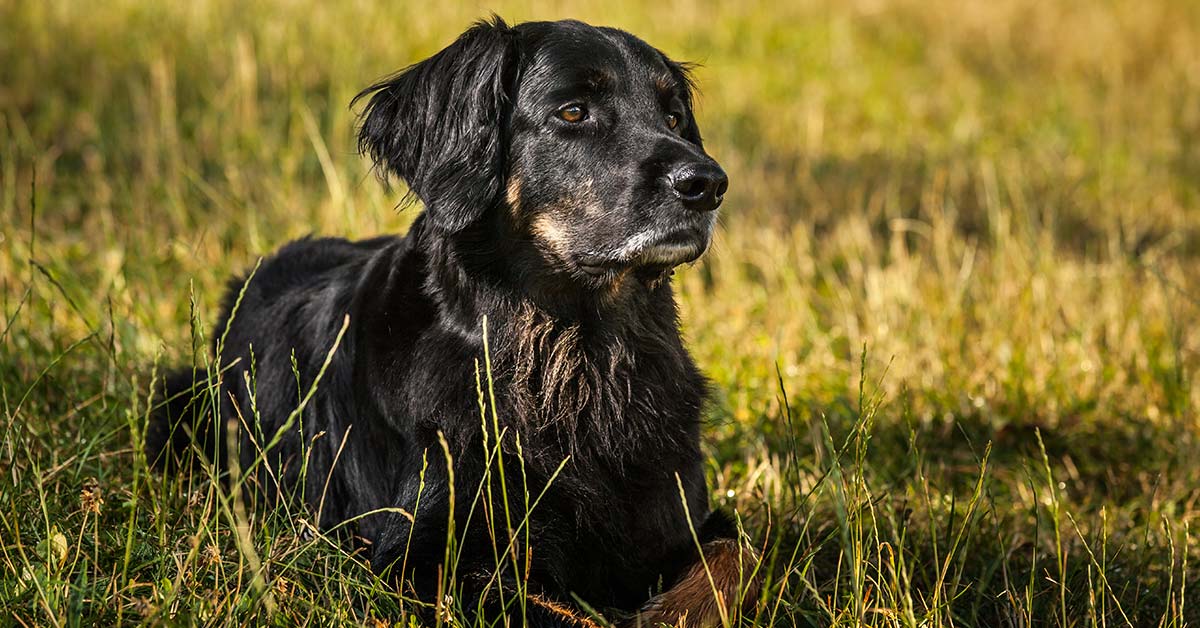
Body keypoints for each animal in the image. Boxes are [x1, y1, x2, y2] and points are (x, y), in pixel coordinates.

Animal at [145, 17, 753, 624]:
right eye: (574, 111)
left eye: (673, 118)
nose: (708, 184)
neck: (575, 351)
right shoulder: (425, 555)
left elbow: (734, 554)